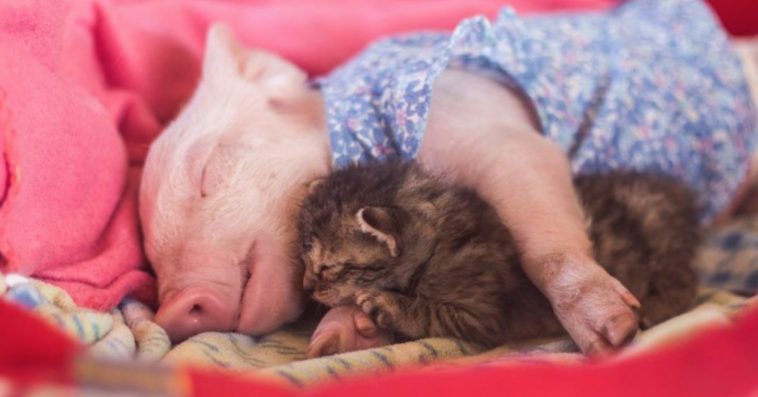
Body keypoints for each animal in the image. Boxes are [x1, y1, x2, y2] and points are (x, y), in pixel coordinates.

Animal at [296, 161, 700, 346]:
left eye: (328, 267)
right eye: (304, 262)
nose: (305, 287)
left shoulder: (482, 316)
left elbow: (431, 313)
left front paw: (388, 305)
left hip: (657, 232)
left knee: (682, 284)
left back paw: (656, 307)